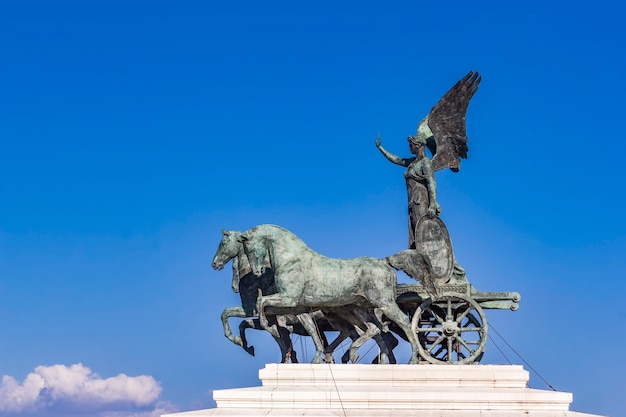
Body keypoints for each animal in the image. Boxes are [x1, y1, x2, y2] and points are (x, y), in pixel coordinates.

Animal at [239, 223, 420, 362]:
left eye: (249, 249)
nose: (257, 271)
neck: (290, 259)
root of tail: (384, 263)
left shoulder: (288, 299)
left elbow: (262, 301)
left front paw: (265, 324)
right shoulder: (296, 307)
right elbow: (311, 330)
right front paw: (317, 358)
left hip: (384, 303)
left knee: (404, 322)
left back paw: (413, 359)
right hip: (361, 309)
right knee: (375, 329)